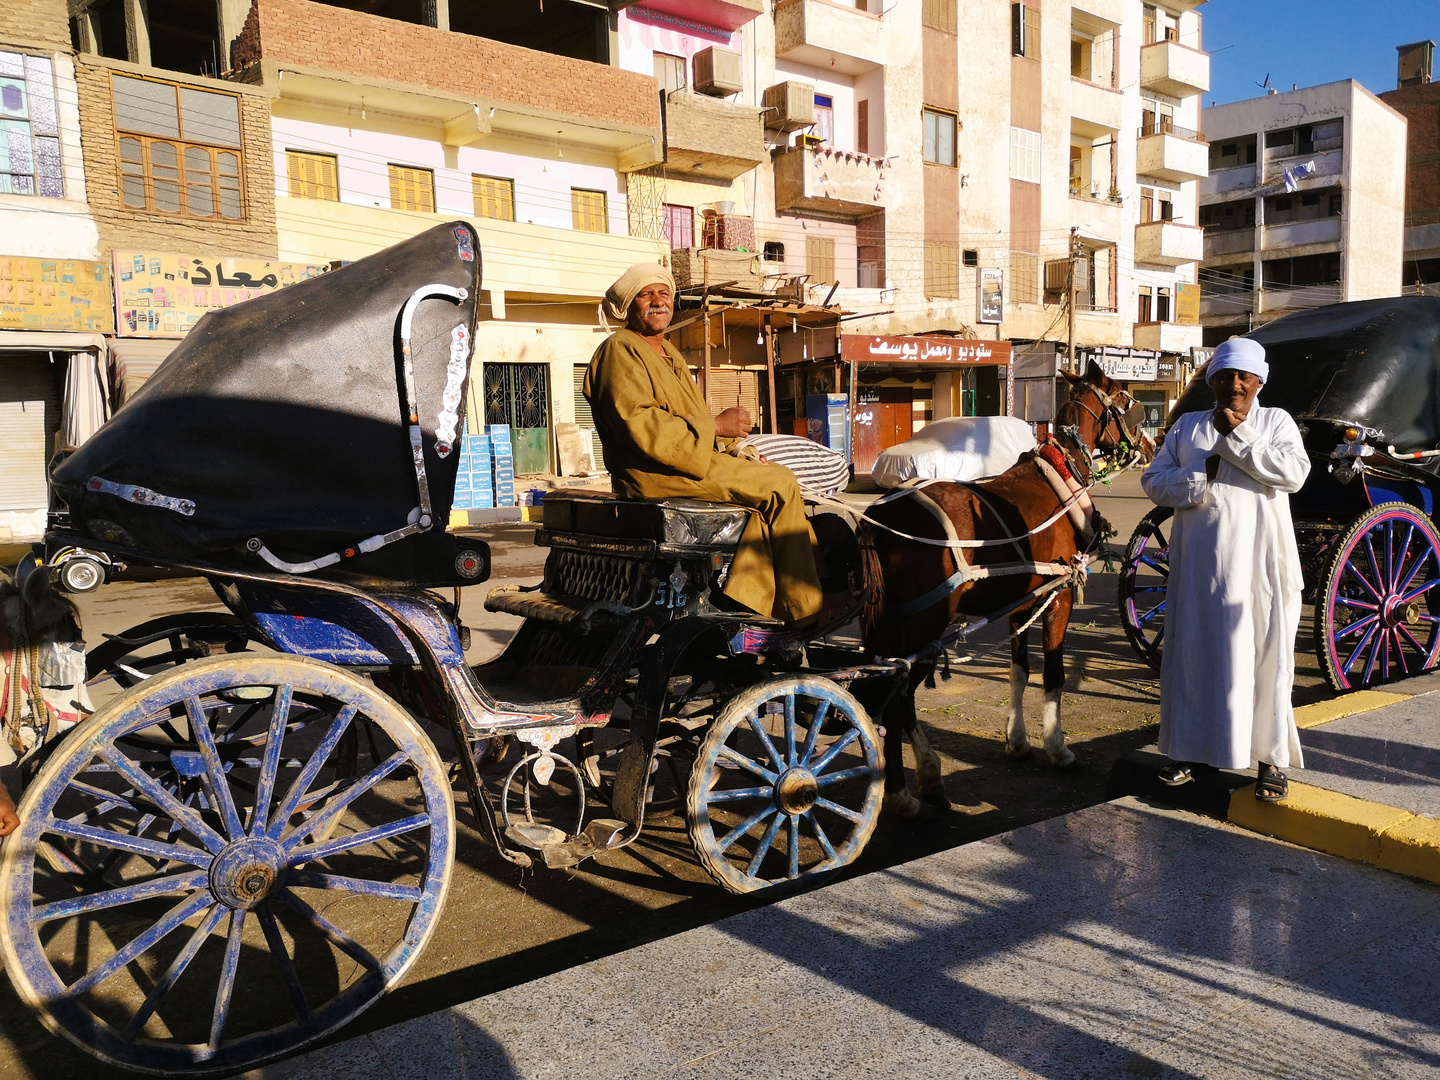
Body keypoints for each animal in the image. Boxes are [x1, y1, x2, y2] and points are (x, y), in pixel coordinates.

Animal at [858, 364, 1140, 817]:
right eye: (1125, 400)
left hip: (895, 629)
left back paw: (926, 777)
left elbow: (1018, 671)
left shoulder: (1020, 604)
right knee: (898, 699)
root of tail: (879, 517)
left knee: (893, 698)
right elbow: (1054, 675)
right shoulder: (1058, 596)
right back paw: (904, 794)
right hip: (923, 626)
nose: (1150, 441)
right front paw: (1058, 748)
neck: (1059, 481)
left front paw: (1018, 741)